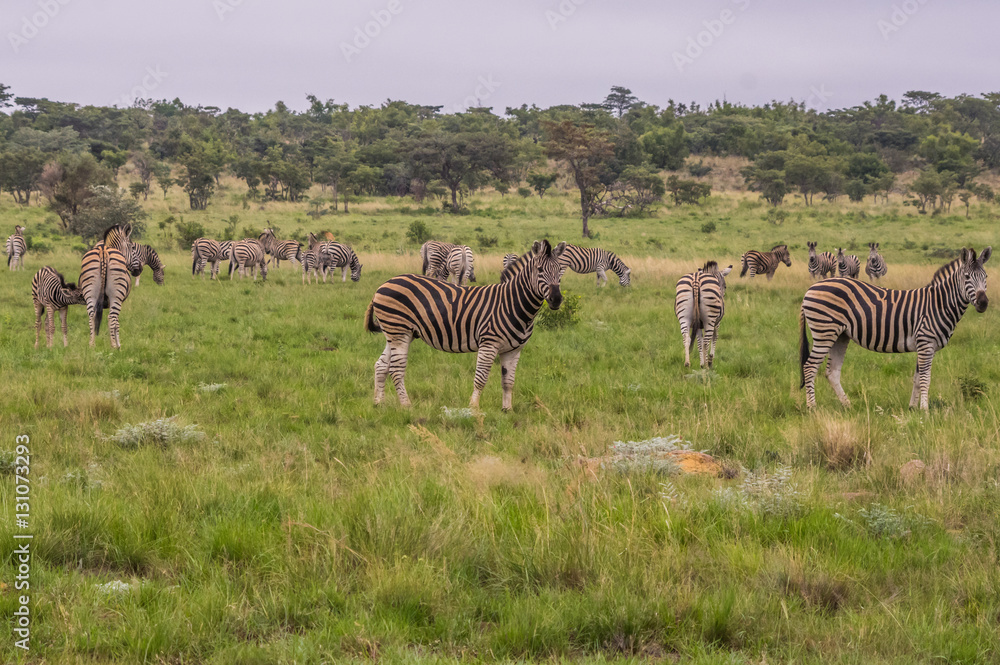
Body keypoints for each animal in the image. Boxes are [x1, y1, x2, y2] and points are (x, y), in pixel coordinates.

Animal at [365, 239, 568, 411]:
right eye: (539, 269)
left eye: (560, 271)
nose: (557, 299)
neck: (512, 303)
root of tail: (384, 284)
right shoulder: (489, 344)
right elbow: (481, 378)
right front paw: (473, 408)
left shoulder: (514, 349)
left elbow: (508, 381)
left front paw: (507, 410)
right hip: (398, 331)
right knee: (396, 369)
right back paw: (406, 406)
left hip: (397, 334)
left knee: (381, 365)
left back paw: (378, 403)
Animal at [799, 247, 991, 411]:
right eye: (967, 277)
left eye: (986, 277)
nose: (983, 303)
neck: (938, 304)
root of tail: (810, 289)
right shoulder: (926, 343)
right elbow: (925, 378)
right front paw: (925, 410)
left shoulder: (923, 345)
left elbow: (917, 378)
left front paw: (913, 408)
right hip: (824, 332)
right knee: (809, 367)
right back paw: (812, 408)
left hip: (840, 335)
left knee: (832, 372)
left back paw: (848, 406)